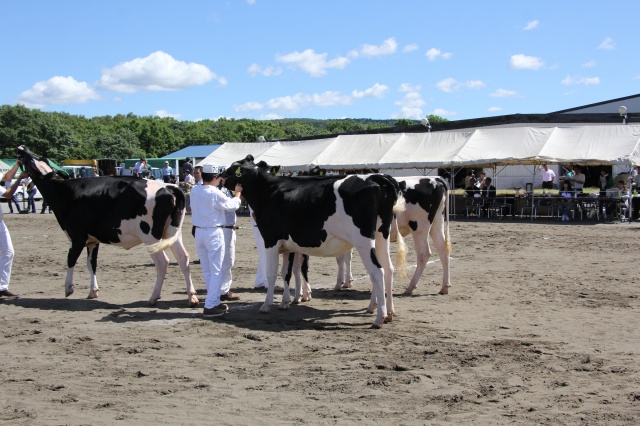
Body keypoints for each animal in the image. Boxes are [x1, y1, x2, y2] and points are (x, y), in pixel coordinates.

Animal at [16, 146, 198, 306]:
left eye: (31, 160)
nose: (21, 148)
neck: (65, 193)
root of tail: (169, 187)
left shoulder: (77, 236)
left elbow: (71, 259)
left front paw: (69, 288)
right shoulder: (92, 240)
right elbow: (91, 264)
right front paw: (93, 291)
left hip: (150, 236)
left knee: (162, 262)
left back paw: (153, 297)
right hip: (172, 233)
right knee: (183, 258)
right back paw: (192, 297)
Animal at [220, 156, 404, 330]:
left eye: (233, 168)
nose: (220, 176)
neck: (268, 190)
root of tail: (376, 178)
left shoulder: (271, 240)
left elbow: (272, 273)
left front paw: (266, 305)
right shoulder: (287, 245)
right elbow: (285, 273)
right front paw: (285, 302)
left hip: (363, 240)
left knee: (377, 272)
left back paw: (379, 318)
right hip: (381, 236)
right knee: (388, 269)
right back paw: (386, 312)